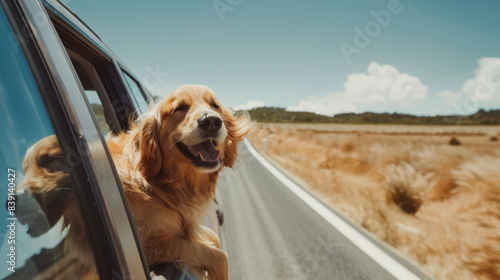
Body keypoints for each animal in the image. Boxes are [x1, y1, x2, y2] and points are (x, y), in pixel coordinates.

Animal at [18, 84, 256, 278]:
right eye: (179, 108)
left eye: (215, 105)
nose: (212, 121)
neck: (159, 185)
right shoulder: (150, 243)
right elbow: (219, 256)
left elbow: (213, 241)